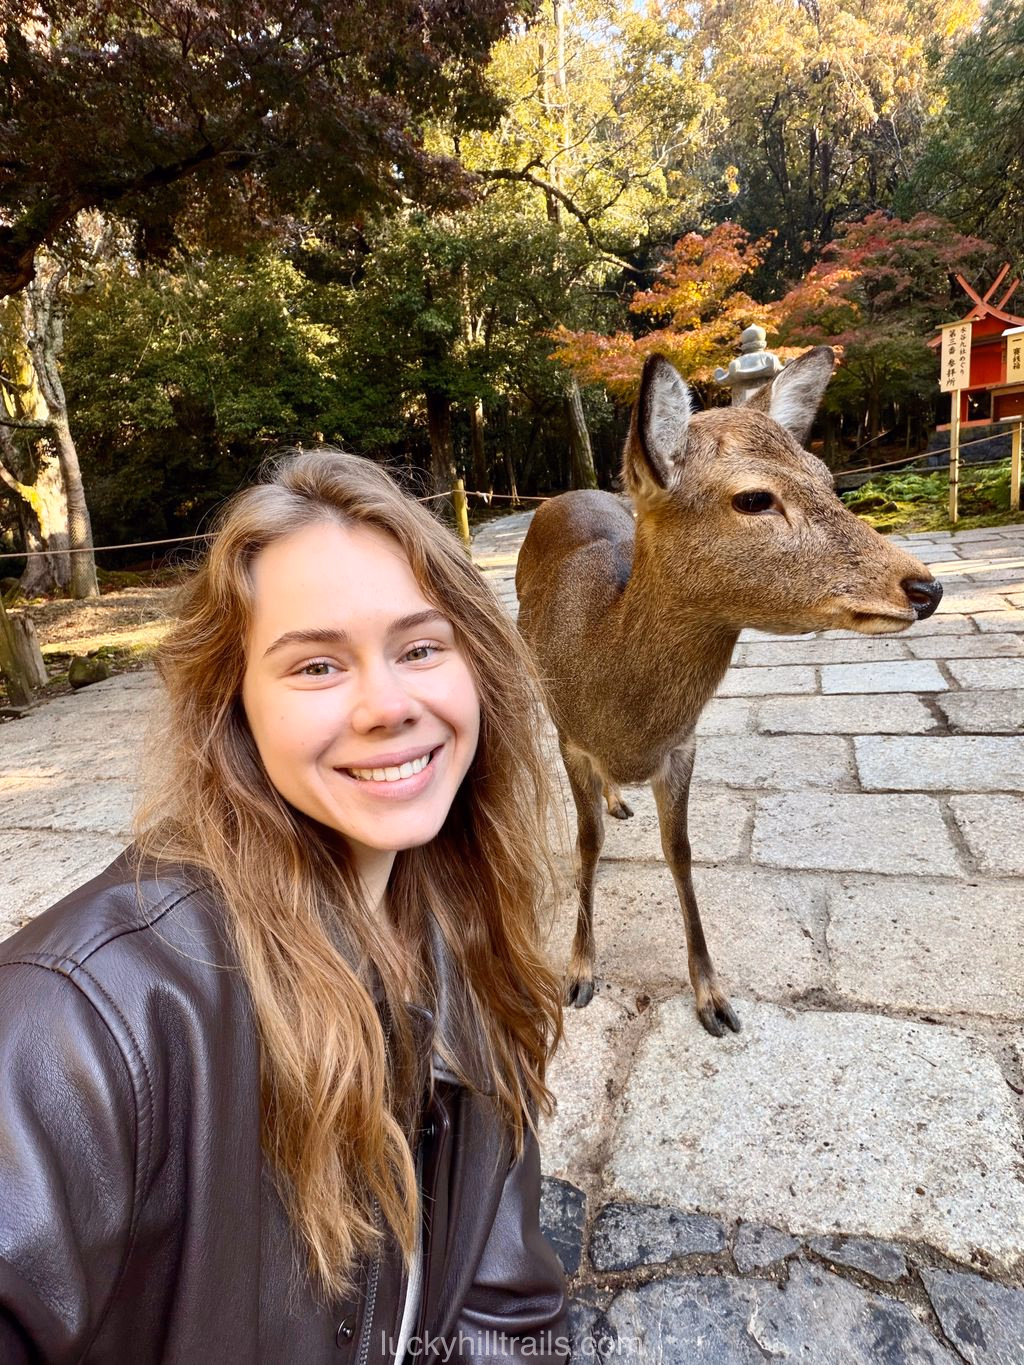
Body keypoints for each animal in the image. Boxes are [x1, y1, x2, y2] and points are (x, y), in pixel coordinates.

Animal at [515, 347, 943, 1037]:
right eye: (754, 497)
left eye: (827, 477)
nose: (926, 587)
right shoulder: (570, 738)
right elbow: (586, 845)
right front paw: (578, 974)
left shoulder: (683, 746)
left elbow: (681, 851)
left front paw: (712, 996)